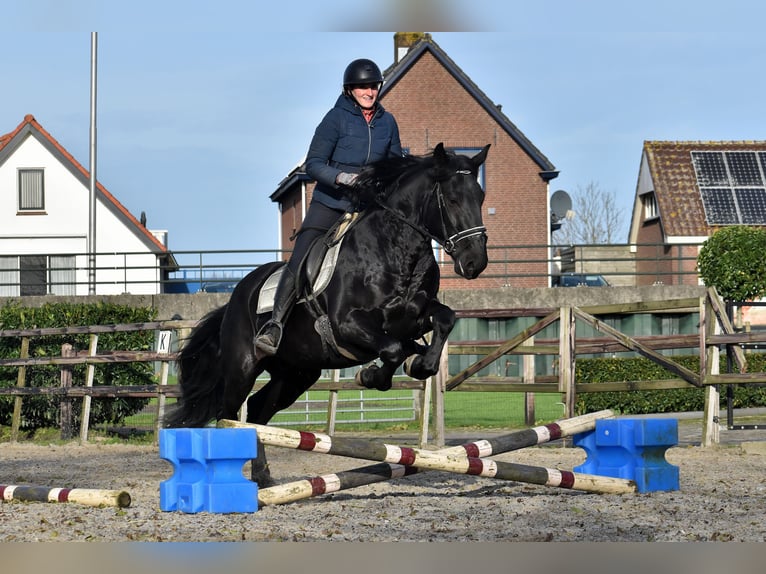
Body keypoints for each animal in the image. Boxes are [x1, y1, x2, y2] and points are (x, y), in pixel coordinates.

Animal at [167, 143, 492, 486]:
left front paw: (417, 363)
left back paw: (264, 478)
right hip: (243, 368)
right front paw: (371, 375)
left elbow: (443, 320)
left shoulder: (413, 317)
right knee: (229, 417)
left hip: (295, 374)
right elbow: (391, 349)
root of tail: (235, 296)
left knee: (256, 412)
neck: (396, 251)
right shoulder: (346, 325)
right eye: (452, 199)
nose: (475, 262)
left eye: (480, 197)